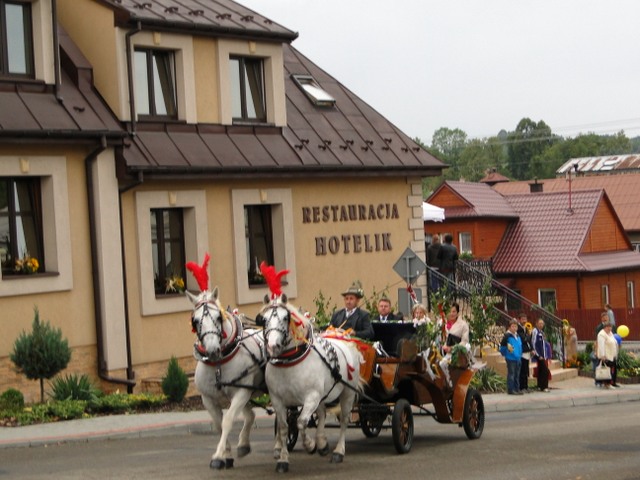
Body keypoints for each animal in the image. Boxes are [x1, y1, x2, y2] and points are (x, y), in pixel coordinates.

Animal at [187, 287, 267, 470]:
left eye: (218, 317)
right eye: (195, 320)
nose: (212, 350)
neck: (218, 364)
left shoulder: (241, 392)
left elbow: (228, 421)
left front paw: (218, 455)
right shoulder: (207, 398)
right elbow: (218, 423)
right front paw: (226, 454)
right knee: (250, 414)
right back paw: (244, 444)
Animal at [259, 293, 363, 473]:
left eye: (285, 317)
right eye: (264, 319)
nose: (273, 345)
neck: (289, 362)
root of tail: (343, 336)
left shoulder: (311, 397)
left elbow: (301, 422)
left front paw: (310, 445)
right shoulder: (278, 400)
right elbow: (284, 427)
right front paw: (283, 460)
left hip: (347, 393)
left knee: (343, 420)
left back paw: (338, 451)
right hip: (322, 395)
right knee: (321, 414)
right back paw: (322, 443)